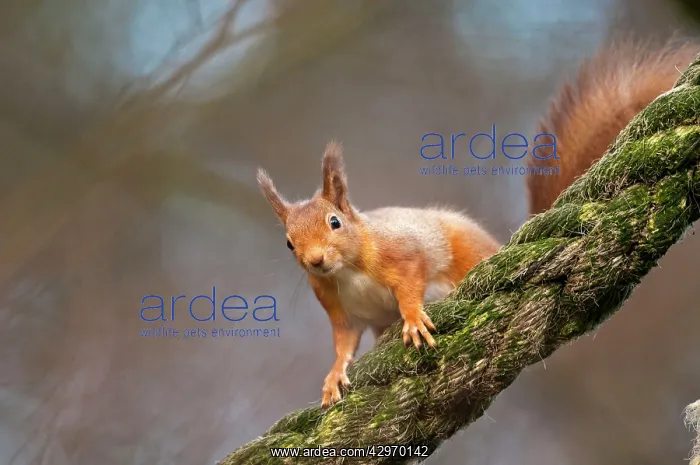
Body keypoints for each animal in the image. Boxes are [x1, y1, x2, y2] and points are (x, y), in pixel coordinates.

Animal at [256, 39, 698, 408]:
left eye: (334, 222)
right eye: (289, 244)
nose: (315, 261)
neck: (347, 270)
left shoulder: (401, 252)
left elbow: (411, 279)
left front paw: (413, 318)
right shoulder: (339, 309)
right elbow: (343, 345)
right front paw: (333, 376)